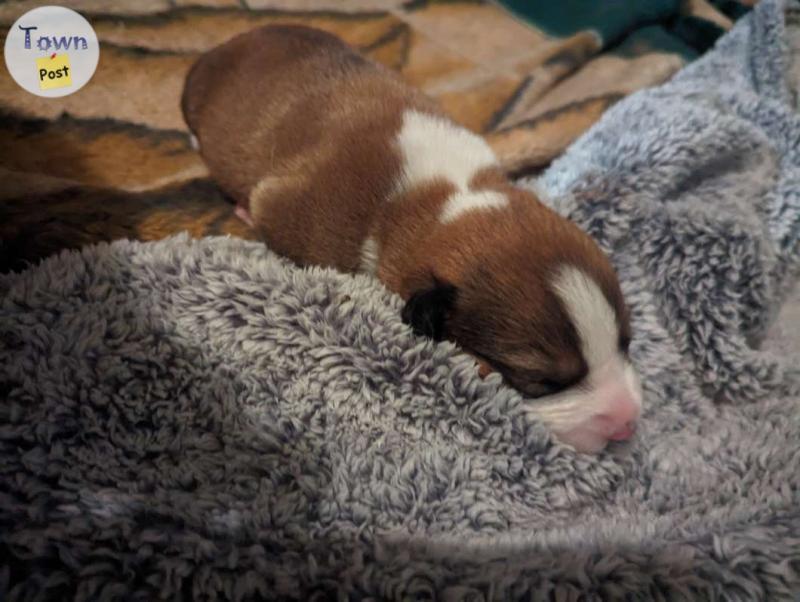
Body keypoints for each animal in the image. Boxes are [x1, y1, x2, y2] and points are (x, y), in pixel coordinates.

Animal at [183, 25, 644, 452]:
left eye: (626, 341)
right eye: (542, 381)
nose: (627, 421)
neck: (445, 197)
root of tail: (234, 41)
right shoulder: (293, 210)